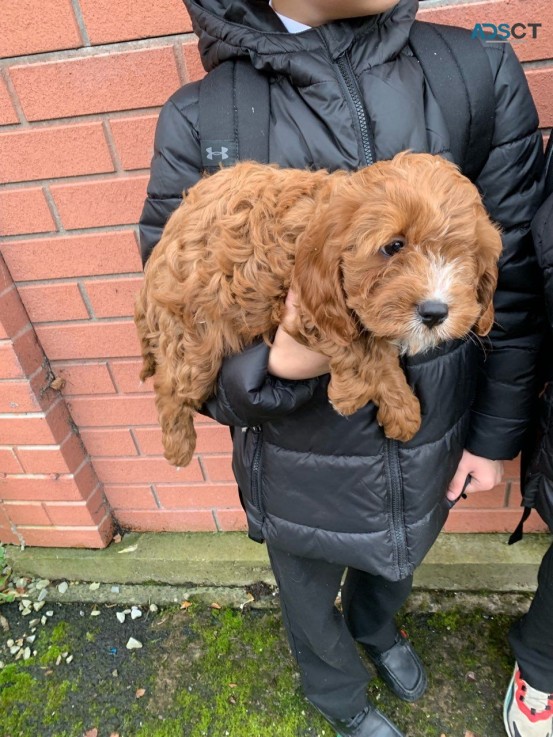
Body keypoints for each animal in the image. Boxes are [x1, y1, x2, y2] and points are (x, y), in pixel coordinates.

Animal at [136, 152, 502, 468]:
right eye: (394, 246)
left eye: (464, 256)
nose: (435, 312)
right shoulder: (308, 302)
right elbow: (361, 349)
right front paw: (354, 395)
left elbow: (377, 348)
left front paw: (401, 412)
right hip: (193, 337)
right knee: (170, 385)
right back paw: (178, 446)